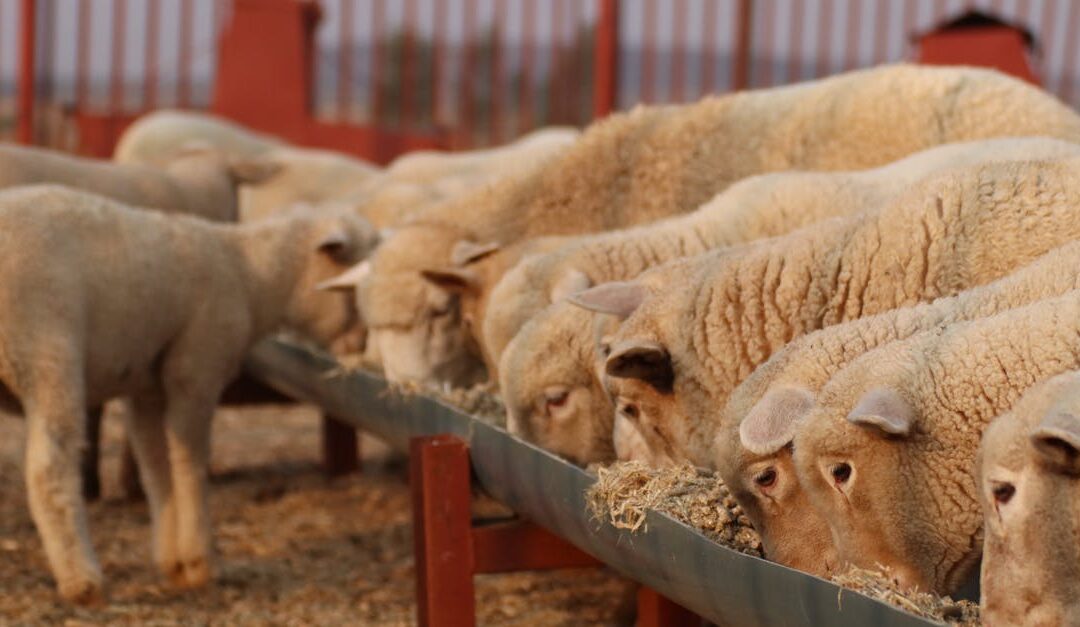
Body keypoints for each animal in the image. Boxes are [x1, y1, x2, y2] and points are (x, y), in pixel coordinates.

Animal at [0, 185, 377, 604]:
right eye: (351, 287)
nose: (365, 343)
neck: (249, 276)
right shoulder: (196, 369)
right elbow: (190, 464)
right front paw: (200, 562)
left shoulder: (146, 387)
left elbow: (157, 467)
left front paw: (173, 562)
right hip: (46, 351)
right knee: (49, 470)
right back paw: (81, 579)